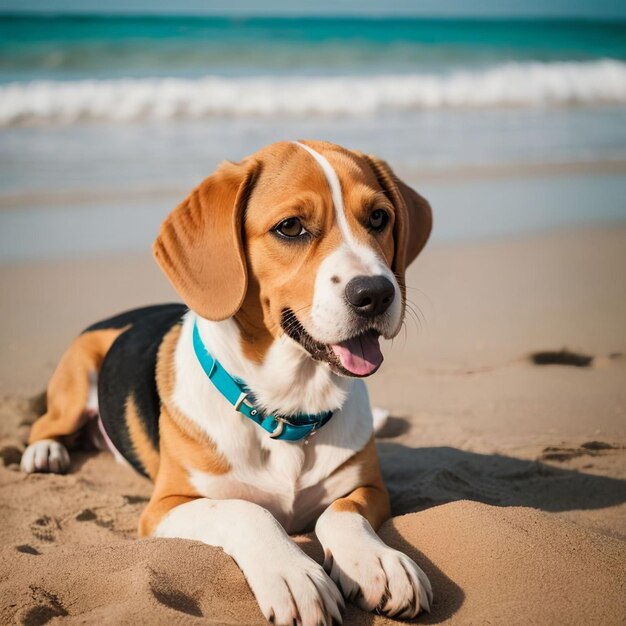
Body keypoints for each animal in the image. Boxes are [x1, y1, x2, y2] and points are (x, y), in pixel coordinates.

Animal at [25, 141, 434, 624]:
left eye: (378, 218)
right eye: (290, 227)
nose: (376, 293)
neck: (287, 407)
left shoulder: (368, 487)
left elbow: (340, 512)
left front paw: (377, 562)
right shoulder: (167, 506)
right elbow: (246, 510)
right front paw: (291, 573)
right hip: (75, 382)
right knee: (44, 423)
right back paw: (45, 452)